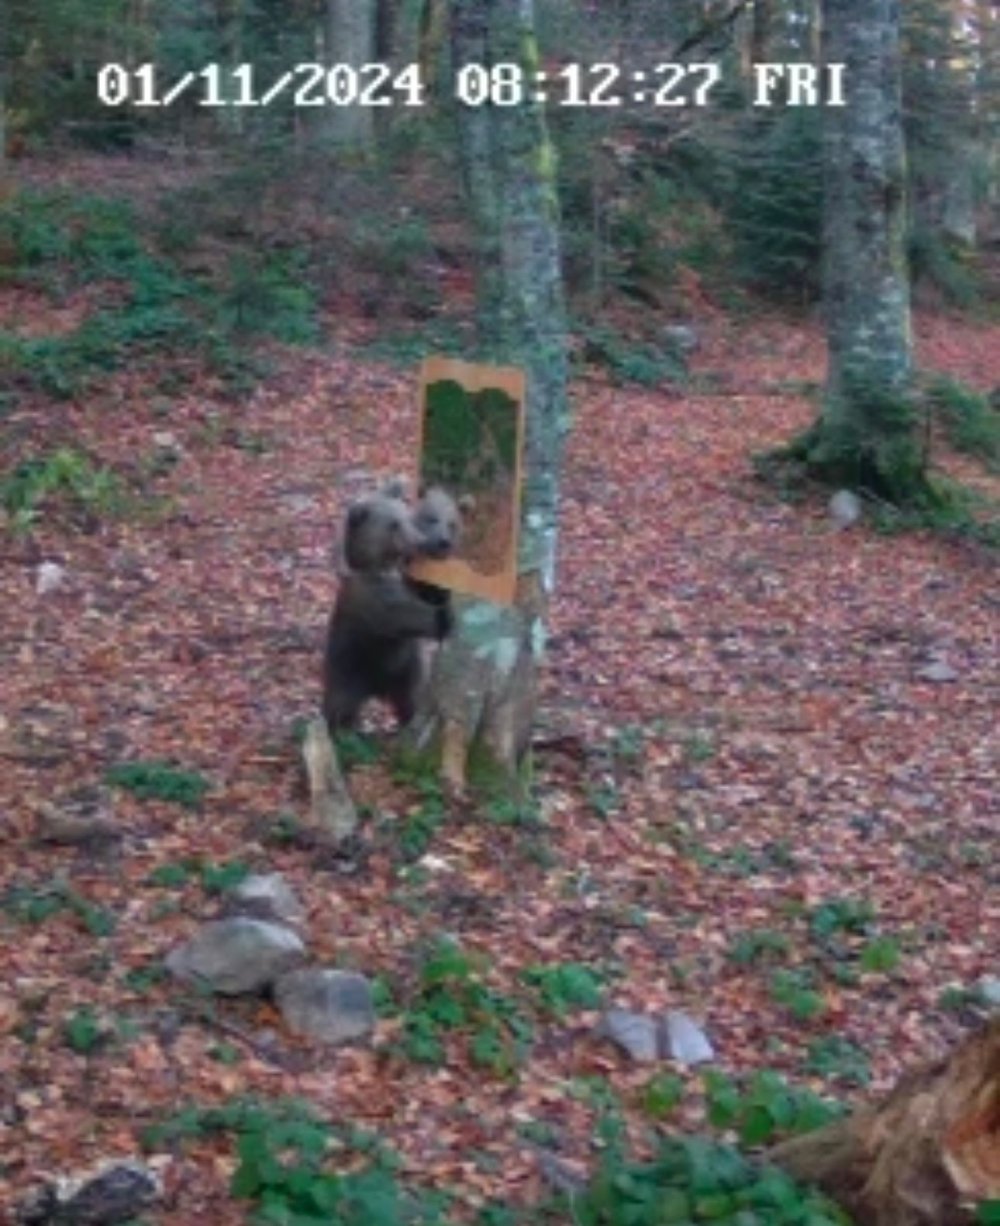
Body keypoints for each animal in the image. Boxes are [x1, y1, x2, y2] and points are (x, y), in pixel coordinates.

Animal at [321, 480, 455, 730]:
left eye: (408, 517)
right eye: (393, 525)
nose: (423, 542)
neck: (384, 567)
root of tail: (378, 690)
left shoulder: (405, 580)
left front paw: (441, 590)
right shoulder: (374, 601)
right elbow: (407, 614)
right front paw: (446, 616)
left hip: (407, 670)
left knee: (411, 698)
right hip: (349, 669)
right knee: (341, 704)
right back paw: (343, 728)